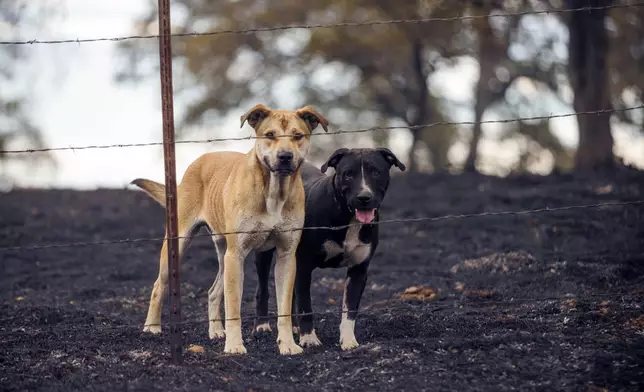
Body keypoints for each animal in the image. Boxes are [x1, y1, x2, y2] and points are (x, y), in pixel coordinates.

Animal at [130, 104, 328, 356]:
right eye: (270, 135)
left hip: (224, 253)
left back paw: (215, 331)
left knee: (213, 292)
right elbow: (234, 308)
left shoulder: (286, 256)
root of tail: (198, 161)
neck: (273, 191)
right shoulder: (237, 254)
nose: (285, 156)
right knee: (159, 285)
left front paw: (288, 345)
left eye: (297, 136)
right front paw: (234, 346)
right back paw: (152, 327)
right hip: (183, 242)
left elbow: (284, 308)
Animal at [252, 147, 402, 350]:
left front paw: (348, 341)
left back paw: (293, 327)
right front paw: (309, 339)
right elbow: (306, 306)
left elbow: (350, 309)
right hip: (264, 251)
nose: (364, 197)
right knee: (262, 289)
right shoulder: (304, 266)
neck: (348, 218)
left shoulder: (359, 270)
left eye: (376, 172)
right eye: (348, 174)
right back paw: (261, 326)